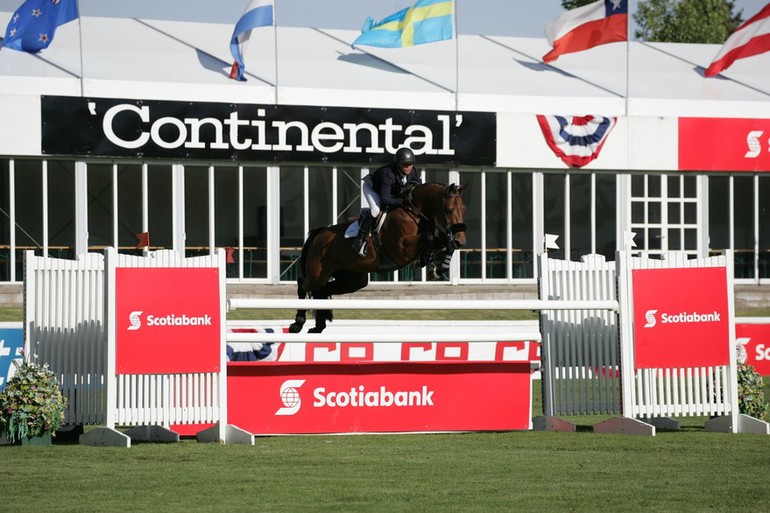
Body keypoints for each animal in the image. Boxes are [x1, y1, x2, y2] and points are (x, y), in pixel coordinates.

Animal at [288, 182, 468, 334]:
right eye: (449, 210)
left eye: (464, 209)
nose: (461, 241)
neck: (414, 213)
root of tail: (320, 233)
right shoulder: (402, 249)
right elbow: (432, 237)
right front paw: (432, 263)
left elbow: (441, 241)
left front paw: (437, 267)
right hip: (318, 273)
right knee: (303, 284)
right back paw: (298, 324)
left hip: (352, 279)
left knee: (323, 290)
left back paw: (319, 326)